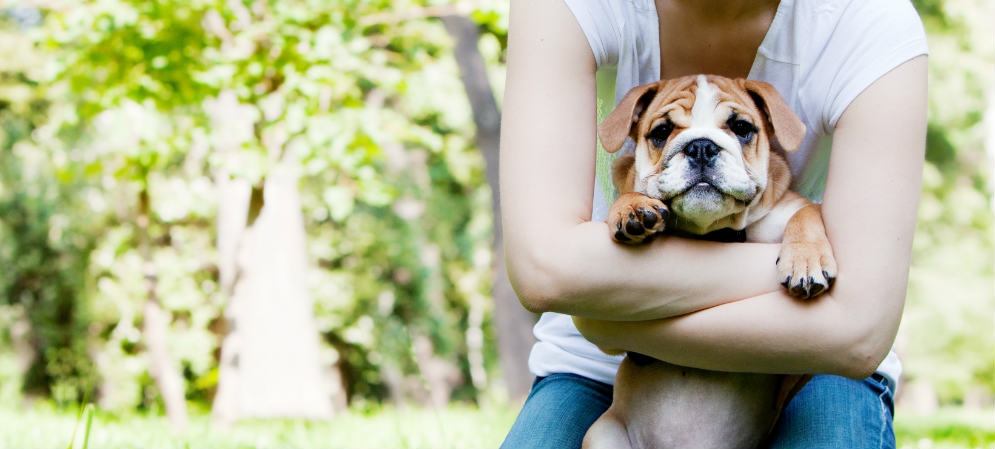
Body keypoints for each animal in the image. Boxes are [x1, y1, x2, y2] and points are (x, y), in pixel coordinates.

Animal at [584, 74, 840, 448]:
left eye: (742, 128)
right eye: (661, 132)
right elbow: (631, 190)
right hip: (602, 434)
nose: (701, 147)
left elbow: (807, 214)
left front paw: (805, 262)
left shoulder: (793, 209)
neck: (712, 231)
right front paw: (632, 208)